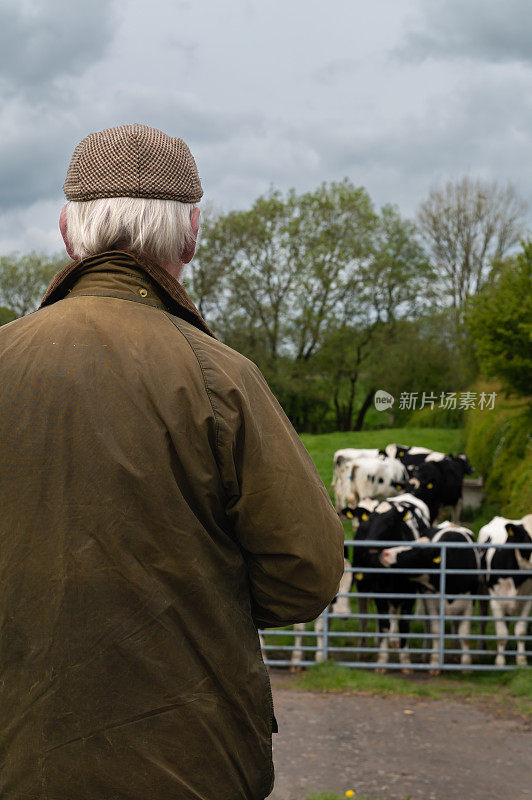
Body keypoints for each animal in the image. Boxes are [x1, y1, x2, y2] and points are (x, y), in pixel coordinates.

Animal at [380, 520, 480, 672]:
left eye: (416, 551)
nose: (385, 553)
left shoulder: (469, 602)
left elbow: (464, 635)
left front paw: (466, 665)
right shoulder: (431, 600)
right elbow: (435, 631)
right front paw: (434, 662)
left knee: (455, 625)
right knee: (427, 624)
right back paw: (425, 655)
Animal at [478, 516, 532, 664]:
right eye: (527, 539)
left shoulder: (528, 601)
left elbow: (521, 631)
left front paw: (521, 660)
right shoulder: (496, 601)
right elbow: (501, 634)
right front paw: (500, 661)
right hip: (482, 590)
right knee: (483, 619)